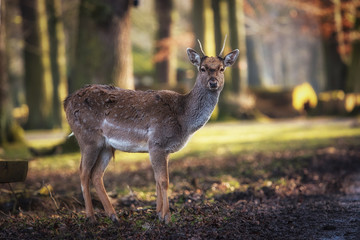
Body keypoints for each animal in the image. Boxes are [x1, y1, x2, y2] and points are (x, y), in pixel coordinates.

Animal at [64, 40, 239, 224]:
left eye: (221, 68)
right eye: (203, 68)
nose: (213, 82)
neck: (183, 119)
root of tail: (66, 101)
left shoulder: (164, 149)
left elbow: (157, 180)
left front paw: (158, 214)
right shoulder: (157, 142)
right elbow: (164, 181)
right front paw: (167, 217)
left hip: (106, 146)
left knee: (97, 174)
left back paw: (113, 215)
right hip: (88, 137)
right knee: (83, 172)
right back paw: (91, 217)